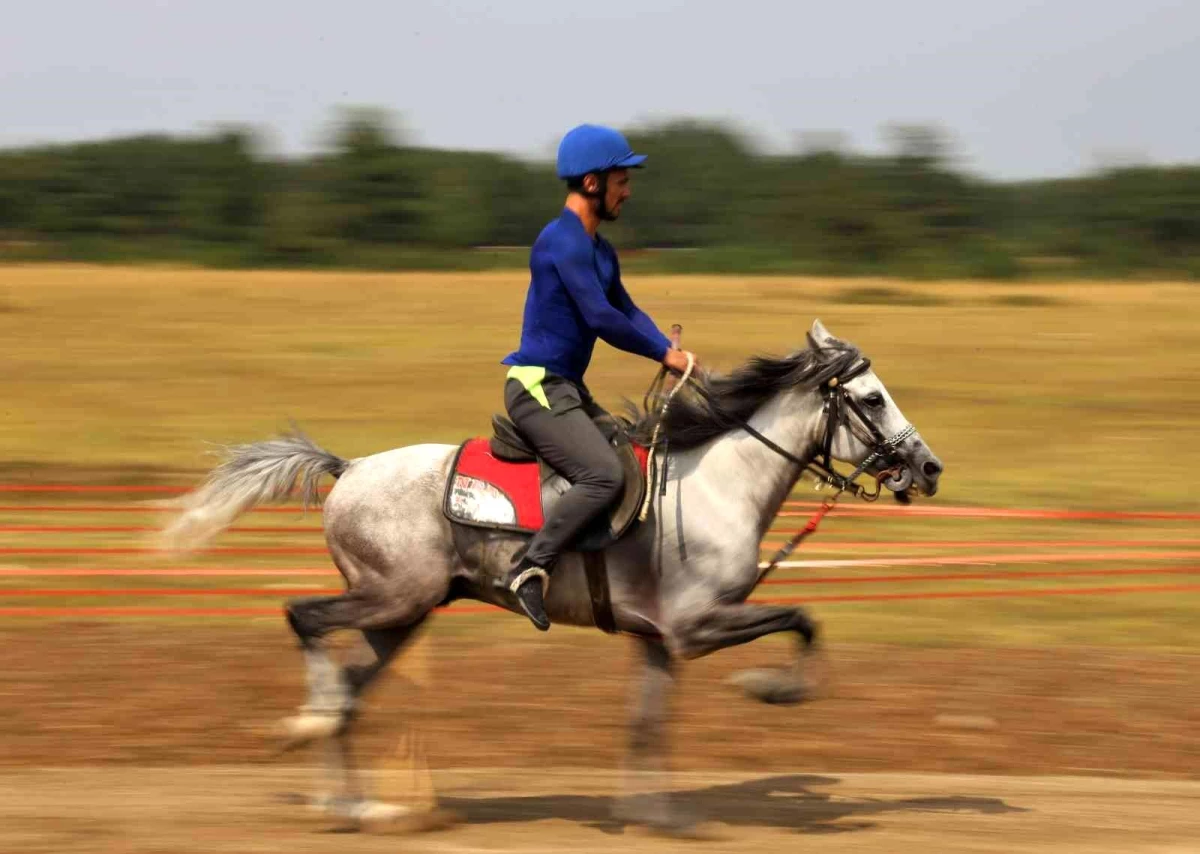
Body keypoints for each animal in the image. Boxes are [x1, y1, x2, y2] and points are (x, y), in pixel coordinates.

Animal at [159, 316, 940, 830]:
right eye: (872, 398)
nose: (929, 467)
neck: (719, 483)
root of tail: (346, 469)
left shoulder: (657, 640)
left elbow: (646, 724)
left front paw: (654, 814)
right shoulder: (695, 628)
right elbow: (803, 620)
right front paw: (770, 689)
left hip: (400, 616)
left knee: (349, 690)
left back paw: (352, 800)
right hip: (389, 599)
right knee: (305, 621)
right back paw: (310, 731)